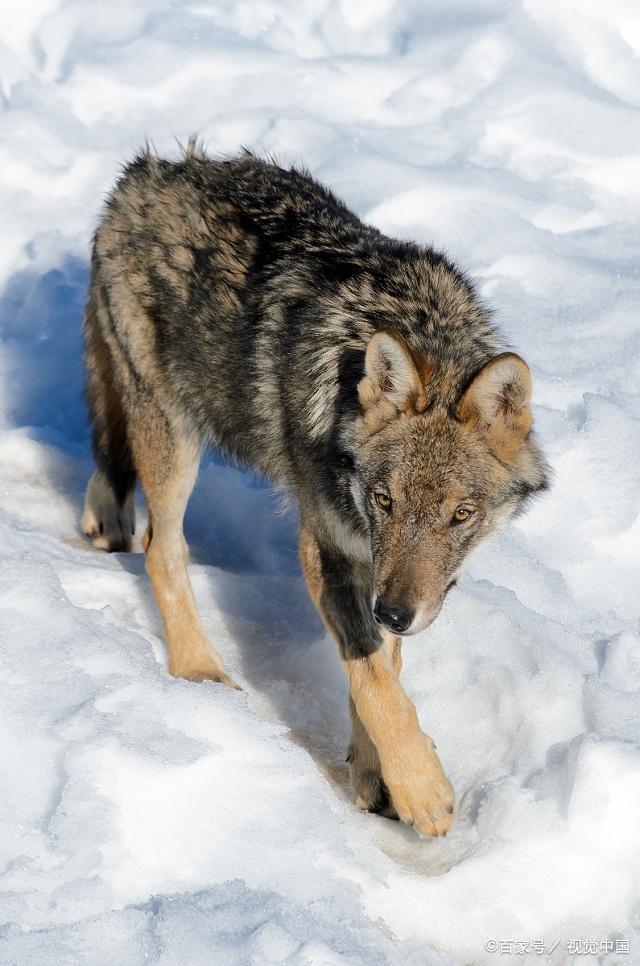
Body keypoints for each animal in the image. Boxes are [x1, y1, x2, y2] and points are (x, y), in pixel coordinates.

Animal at [82, 146, 548, 840]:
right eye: (385, 501)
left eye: (461, 514)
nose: (396, 614)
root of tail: (146, 171)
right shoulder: (324, 545)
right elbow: (373, 677)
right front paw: (423, 791)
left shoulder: (376, 570)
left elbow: (383, 673)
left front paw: (375, 776)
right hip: (174, 435)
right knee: (162, 549)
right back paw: (197, 669)